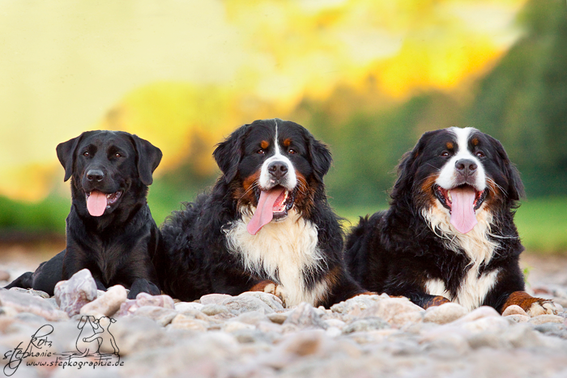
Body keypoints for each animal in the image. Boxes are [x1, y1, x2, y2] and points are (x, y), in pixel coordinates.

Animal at [158, 118, 366, 308]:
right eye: (259, 151)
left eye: (292, 151)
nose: (278, 167)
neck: (280, 230)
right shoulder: (223, 274)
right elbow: (252, 281)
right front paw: (272, 288)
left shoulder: (334, 278)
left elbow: (363, 292)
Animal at [344, 127, 560, 316]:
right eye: (444, 153)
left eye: (480, 154)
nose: (466, 165)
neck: (463, 236)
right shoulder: (402, 287)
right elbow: (436, 298)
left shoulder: (503, 275)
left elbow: (518, 293)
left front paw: (537, 303)